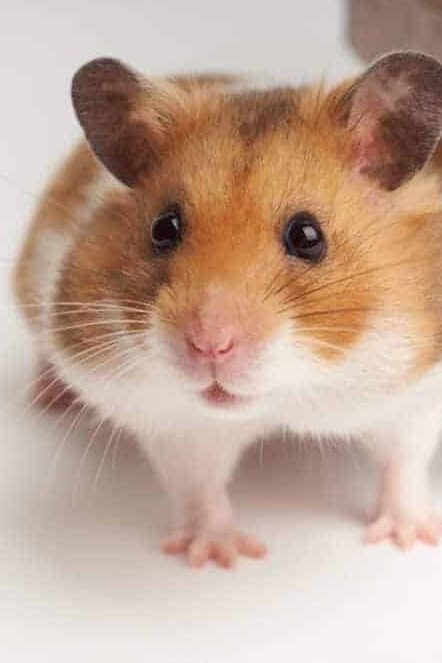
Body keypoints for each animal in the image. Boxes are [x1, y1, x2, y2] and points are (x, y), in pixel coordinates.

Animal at [13, 51, 442, 568]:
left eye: (308, 235)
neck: (287, 396)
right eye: (164, 228)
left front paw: (409, 539)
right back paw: (48, 396)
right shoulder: (174, 422)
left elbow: (404, 462)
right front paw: (221, 557)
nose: (209, 345)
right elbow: (199, 487)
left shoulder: (415, 394)